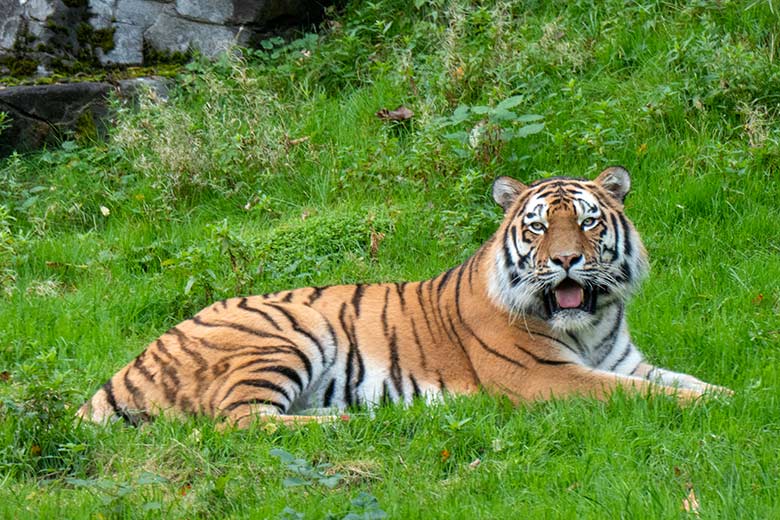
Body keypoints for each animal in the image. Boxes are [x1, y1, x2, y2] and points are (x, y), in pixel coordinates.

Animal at [79, 168, 732, 430]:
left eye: (590, 222)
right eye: (539, 227)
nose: (566, 260)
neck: (589, 323)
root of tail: (136, 359)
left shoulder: (625, 360)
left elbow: (681, 380)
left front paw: (732, 394)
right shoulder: (548, 379)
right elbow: (642, 395)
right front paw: (720, 408)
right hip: (291, 331)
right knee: (237, 423)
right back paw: (341, 425)